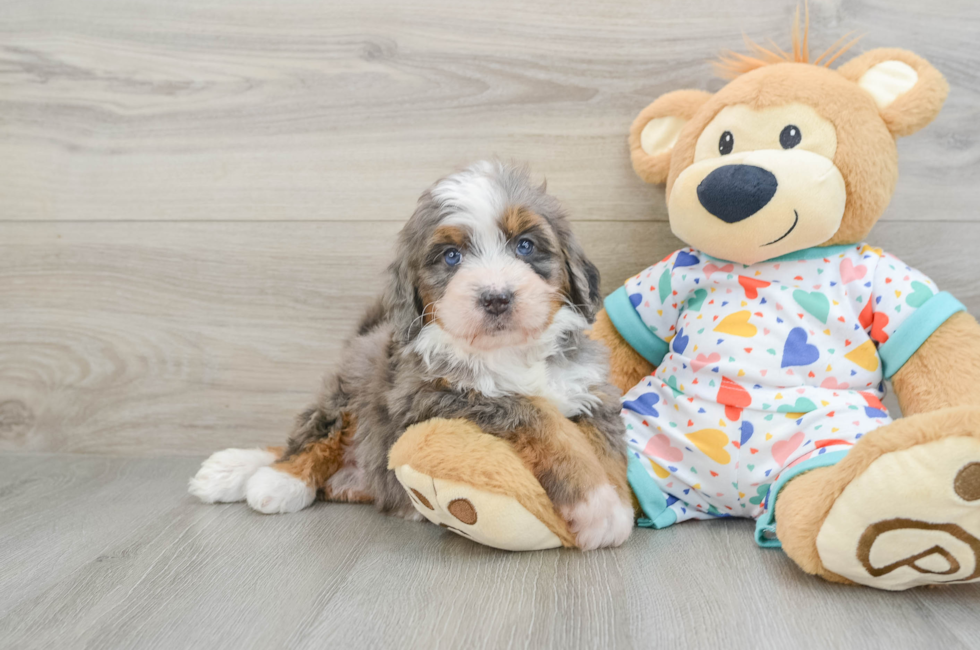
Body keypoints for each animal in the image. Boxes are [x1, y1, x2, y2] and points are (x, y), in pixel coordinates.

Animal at [191, 161, 636, 548]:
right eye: (452, 256)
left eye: (525, 245)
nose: (496, 298)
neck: (510, 353)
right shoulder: (438, 394)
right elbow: (544, 421)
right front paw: (599, 507)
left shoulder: (591, 390)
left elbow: (607, 449)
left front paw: (614, 501)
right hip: (348, 390)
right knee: (309, 436)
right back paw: (272, 480)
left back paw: (229, 471)